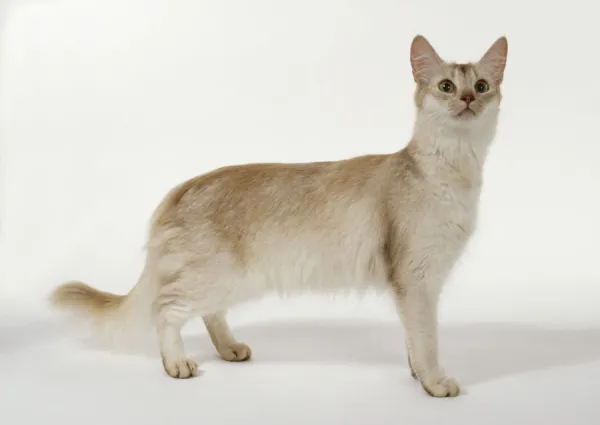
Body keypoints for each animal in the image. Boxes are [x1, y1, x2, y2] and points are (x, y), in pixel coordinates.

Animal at [51, 34, 506, 396]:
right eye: (447, 86)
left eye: (482, 86)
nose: (468, 99)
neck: (452, 172)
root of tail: (182, 188)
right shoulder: (416, 278)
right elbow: (426, 339)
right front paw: (434, 382)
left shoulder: (419, 284)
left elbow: (414, 340)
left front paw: (416, 375)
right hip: (213, 276)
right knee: (165, 310)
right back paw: (176, 363)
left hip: (231, 279)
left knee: (209, 313)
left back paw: (229, 348)